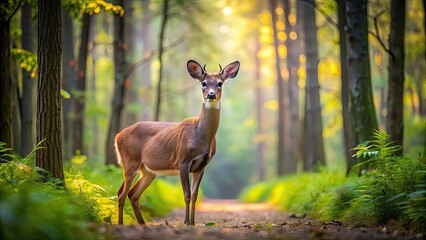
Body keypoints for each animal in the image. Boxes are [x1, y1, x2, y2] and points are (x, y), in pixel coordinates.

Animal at [114, 59, 240, 225]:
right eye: (203, 83)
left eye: (220, 83)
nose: (211, 95)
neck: (201, 137)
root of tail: (117, 136)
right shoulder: (182, 161)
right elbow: (186, 194)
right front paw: (186, 222)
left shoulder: (201, 166)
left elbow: (194, 195)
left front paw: (192, 222)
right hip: (130, 161)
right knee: (122, 193)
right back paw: (121, 224)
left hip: (147, 171)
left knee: (132, 194)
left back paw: (142, 224)